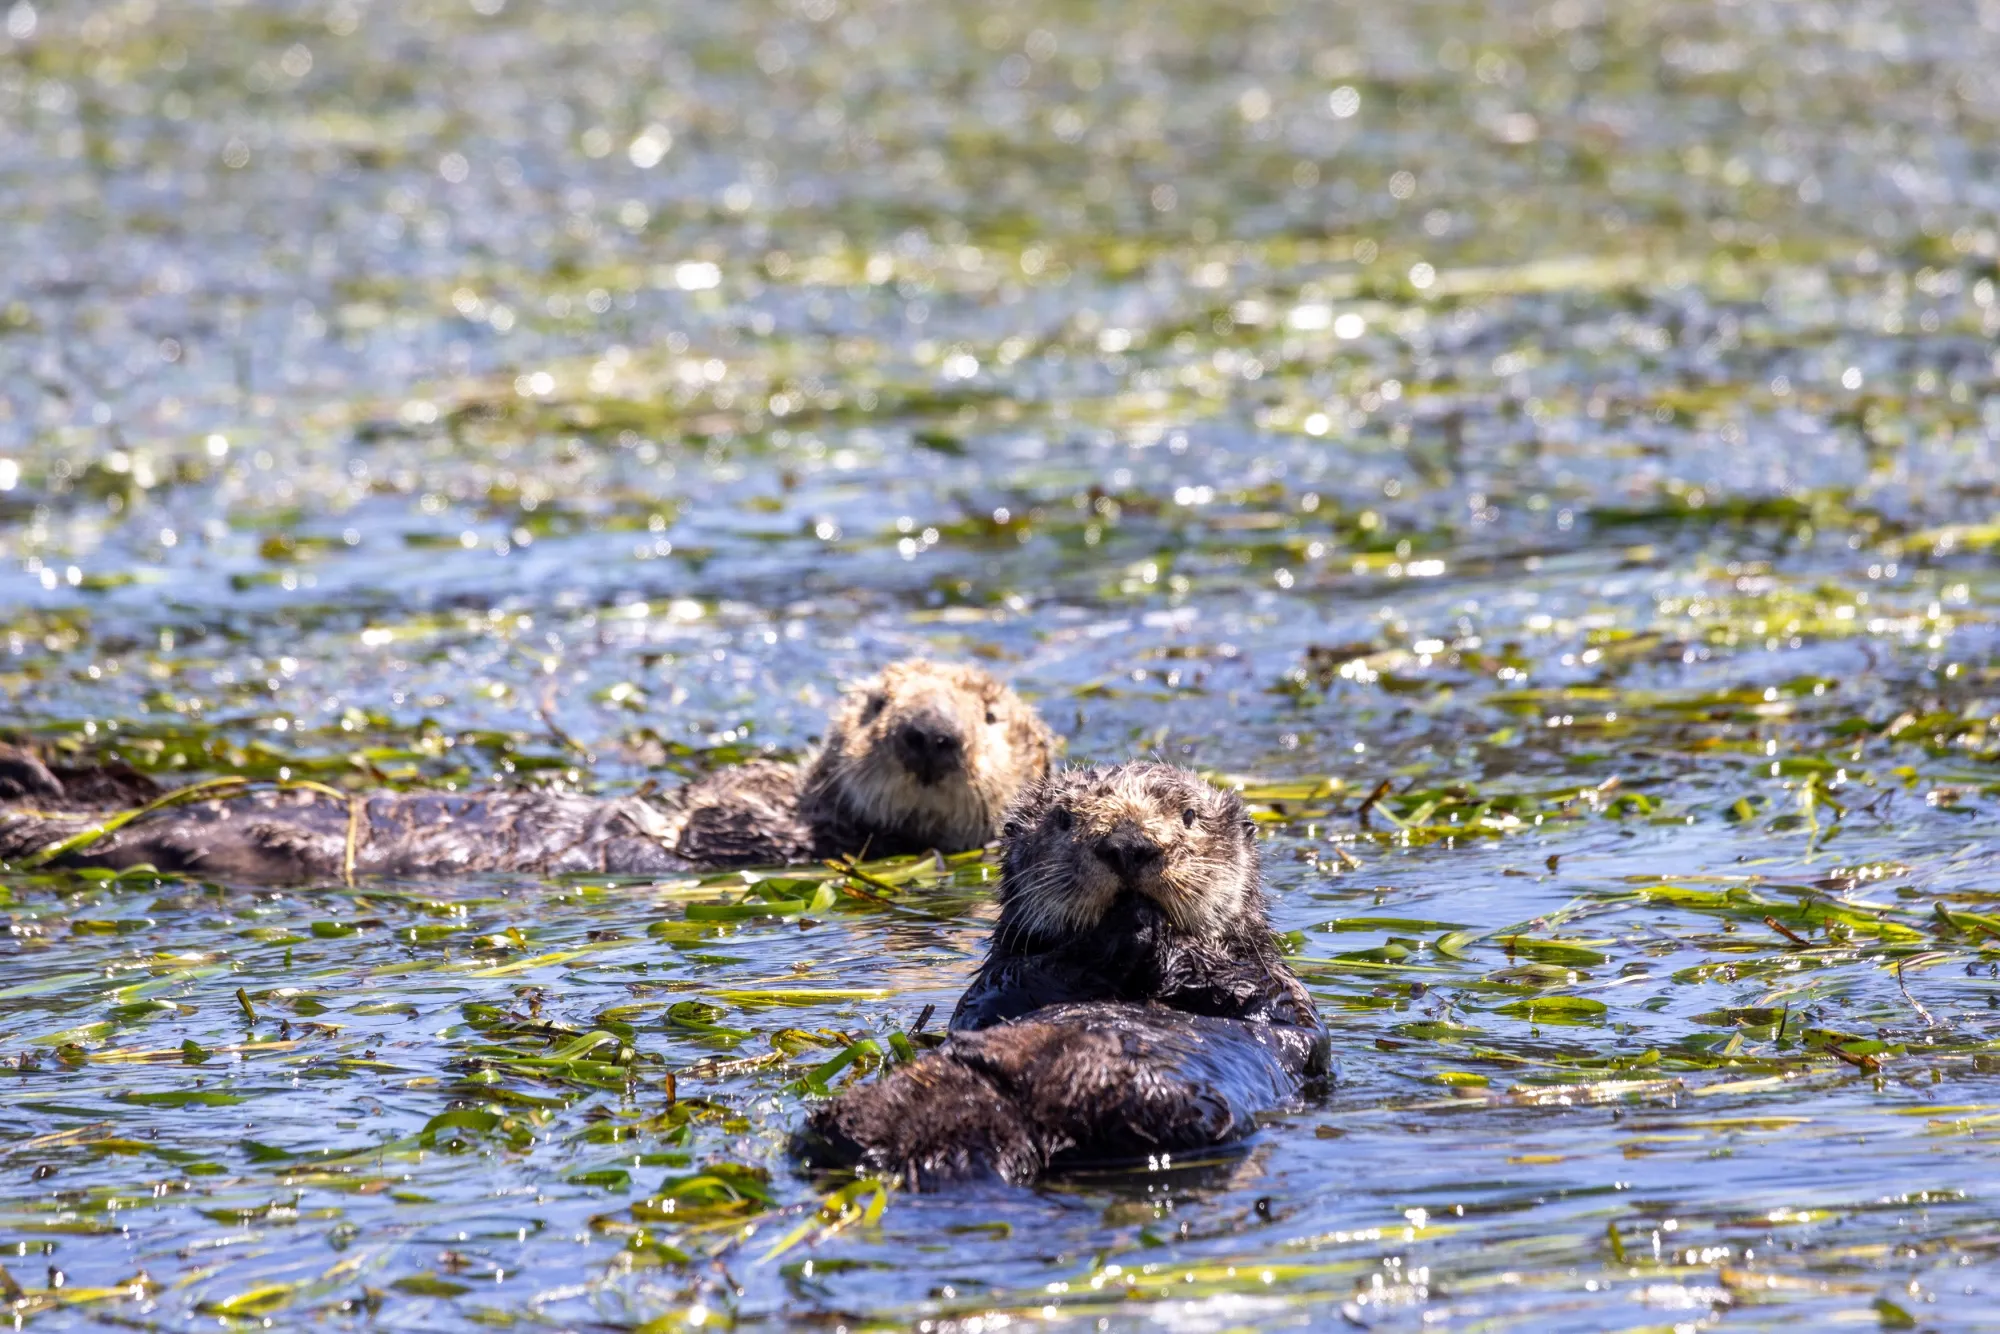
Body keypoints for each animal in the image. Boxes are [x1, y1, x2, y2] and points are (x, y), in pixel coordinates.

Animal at [792, 762, 1330, 1187]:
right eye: (1063, 818)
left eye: (1190, 816)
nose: (1128, 845)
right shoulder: (994, 983)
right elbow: (999, 996)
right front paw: (1121, 930)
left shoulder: (1280, 987)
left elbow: (1266, 1004)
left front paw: (1157, 933)